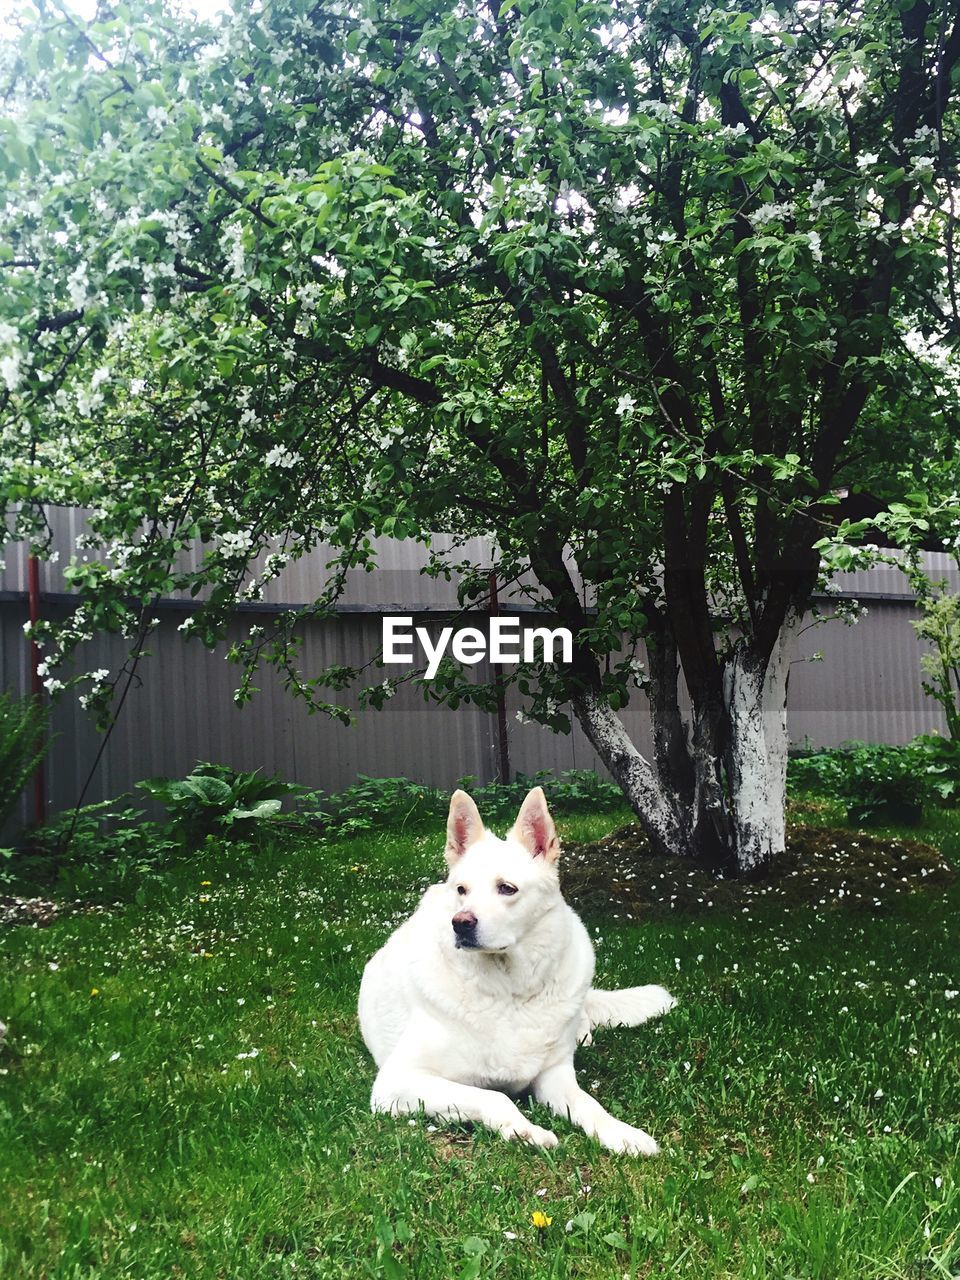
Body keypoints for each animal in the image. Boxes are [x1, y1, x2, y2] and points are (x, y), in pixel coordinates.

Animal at [358, 783, 675, 1157]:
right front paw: (525, 1130)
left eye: (506, 888)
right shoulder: (399, 1080)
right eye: (462, 890)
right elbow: (494, 1097)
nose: (460, 923)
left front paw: (620, 1133)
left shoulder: (554, 1076)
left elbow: (589, 1104)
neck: (510, 991)